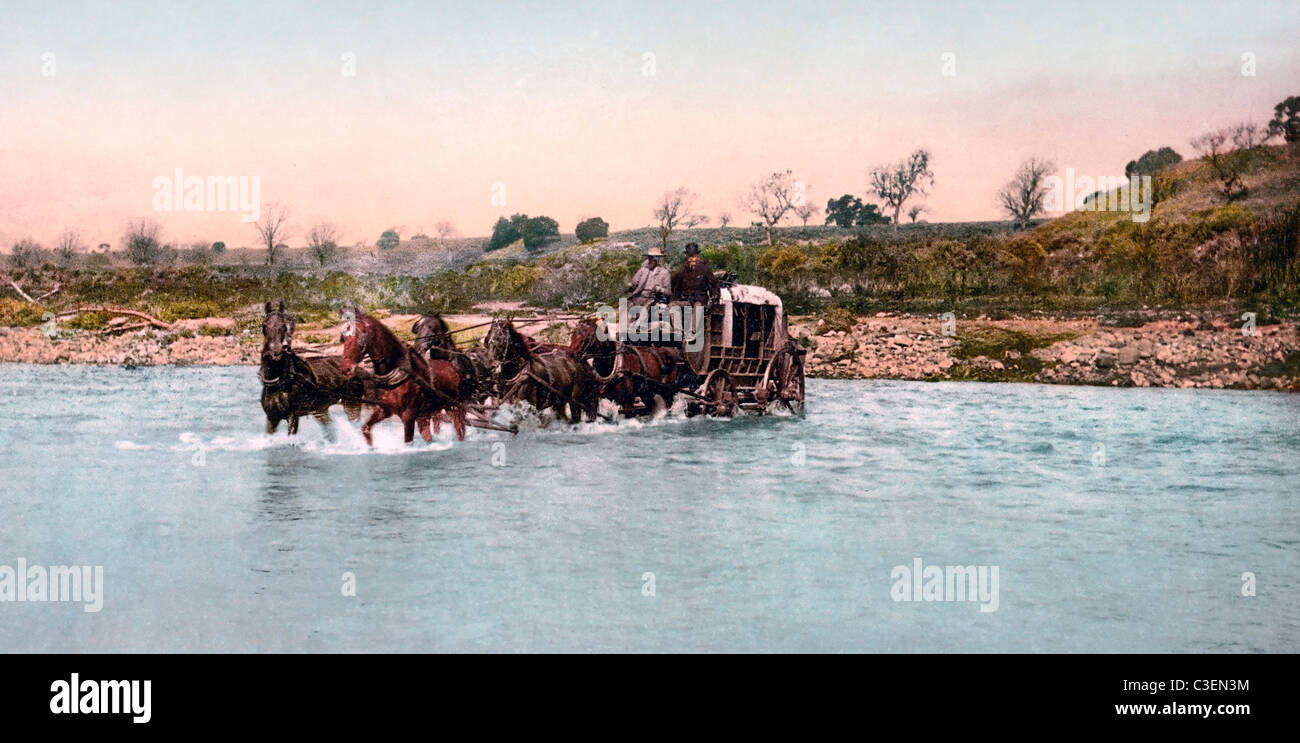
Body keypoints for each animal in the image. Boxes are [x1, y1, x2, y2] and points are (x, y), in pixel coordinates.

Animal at [340, 309, 467, 446]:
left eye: (359, 335)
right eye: (344, 338)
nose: (345, 368)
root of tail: (452, 367)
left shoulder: (409, 416)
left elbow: (408, 440)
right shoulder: (384, 409)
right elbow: (365, 428)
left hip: (454, 408)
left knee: (460, 430)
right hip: (430, 411)